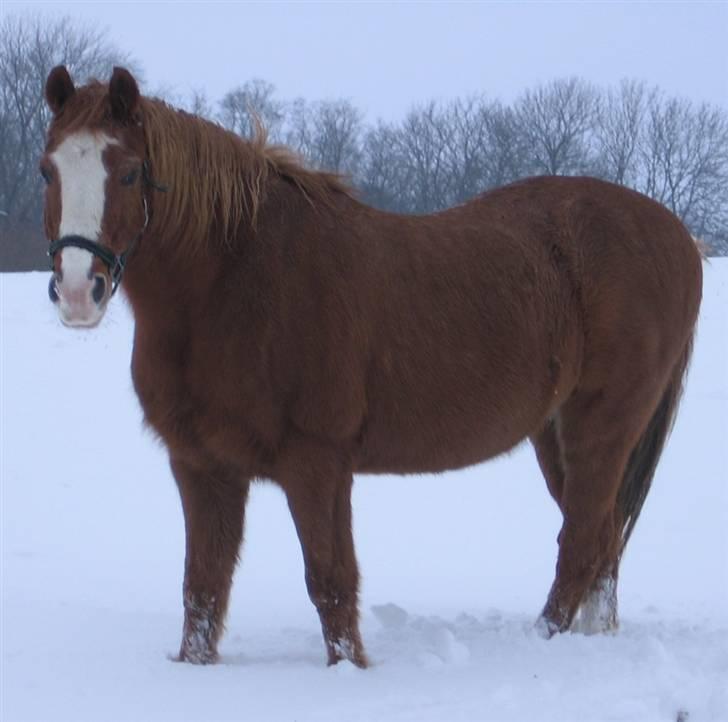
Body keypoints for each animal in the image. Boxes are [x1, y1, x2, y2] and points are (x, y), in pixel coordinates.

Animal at [42, 64, 704, 668]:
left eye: (129, 171)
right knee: (602, 543)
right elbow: (203, 588)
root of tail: (677, 235)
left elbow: (331, 582)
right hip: (557, 433)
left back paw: (541, 645)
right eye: (49, 168)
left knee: (583, 545)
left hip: (602, 427)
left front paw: (351, 674)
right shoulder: (202, 465)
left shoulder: (316, 462)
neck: (235, 280)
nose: (77, 291)